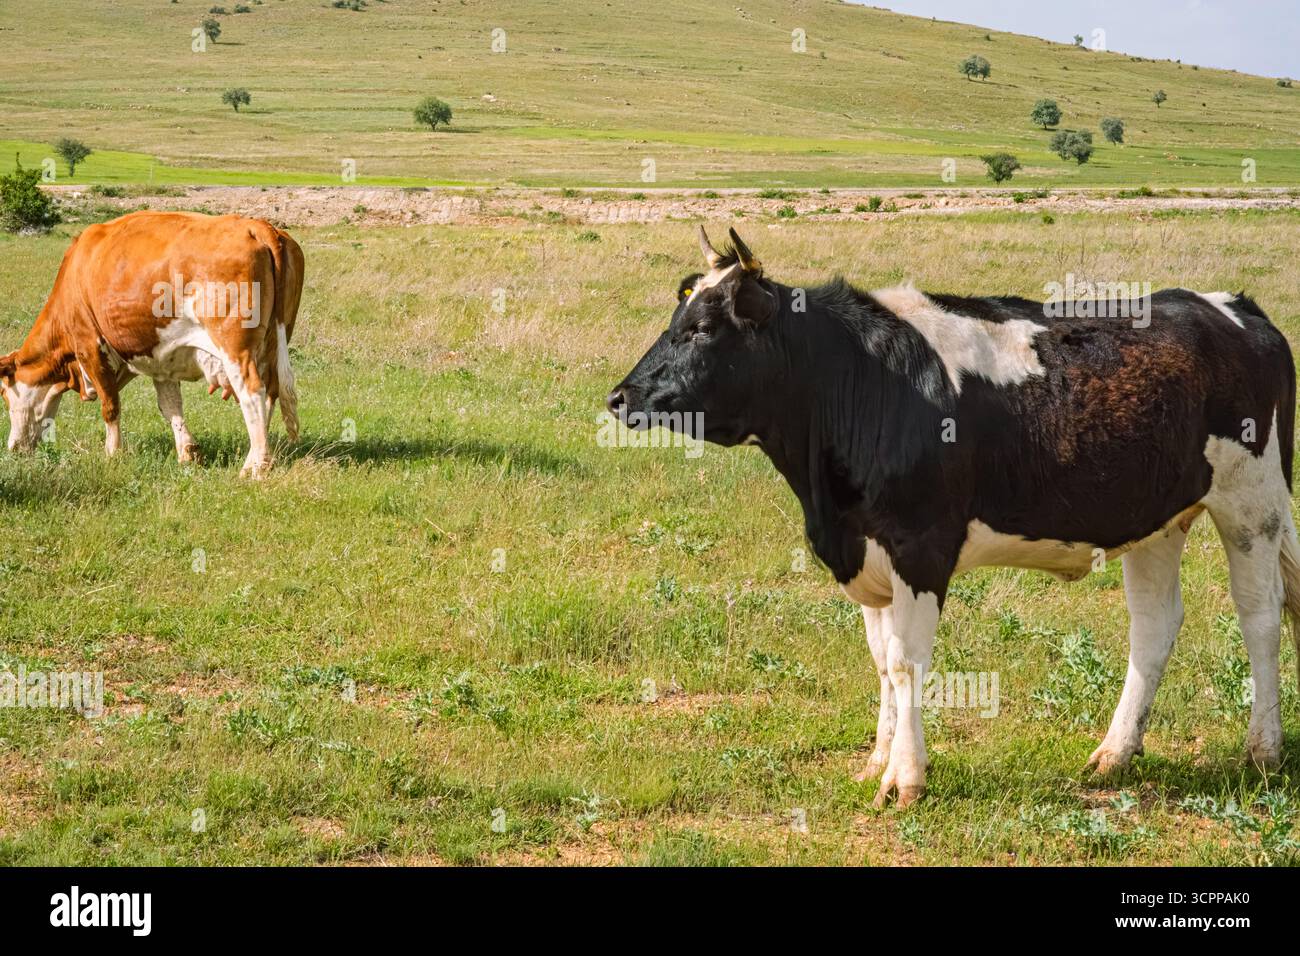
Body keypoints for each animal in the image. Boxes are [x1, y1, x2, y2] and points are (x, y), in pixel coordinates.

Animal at [1, 211, 304, 477]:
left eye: (3, 395)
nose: (12, 447)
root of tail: (257, 225)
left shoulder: (90, 346)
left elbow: (110, 406)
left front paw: (112, 454)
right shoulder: (162, 361)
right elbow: (170, 406)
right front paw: (187, 453)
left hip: (235, 350)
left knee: (252, 394)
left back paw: (255, 468)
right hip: (274, 343)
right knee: (271, 393)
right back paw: (257, 457)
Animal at [608, 225, 1300, 807]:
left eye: (703, 328)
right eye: (678, 315)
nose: (621, 396)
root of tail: (1231, 306)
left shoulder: (920, 546)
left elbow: (909, 663)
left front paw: (905, 780)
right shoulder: (867, 552)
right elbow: (883, 662)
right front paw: (877, 761)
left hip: (1252, 499)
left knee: (1260, 615)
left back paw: (1262, 750)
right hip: (1156, 517)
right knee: (1154, 626)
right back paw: (1114, 754)